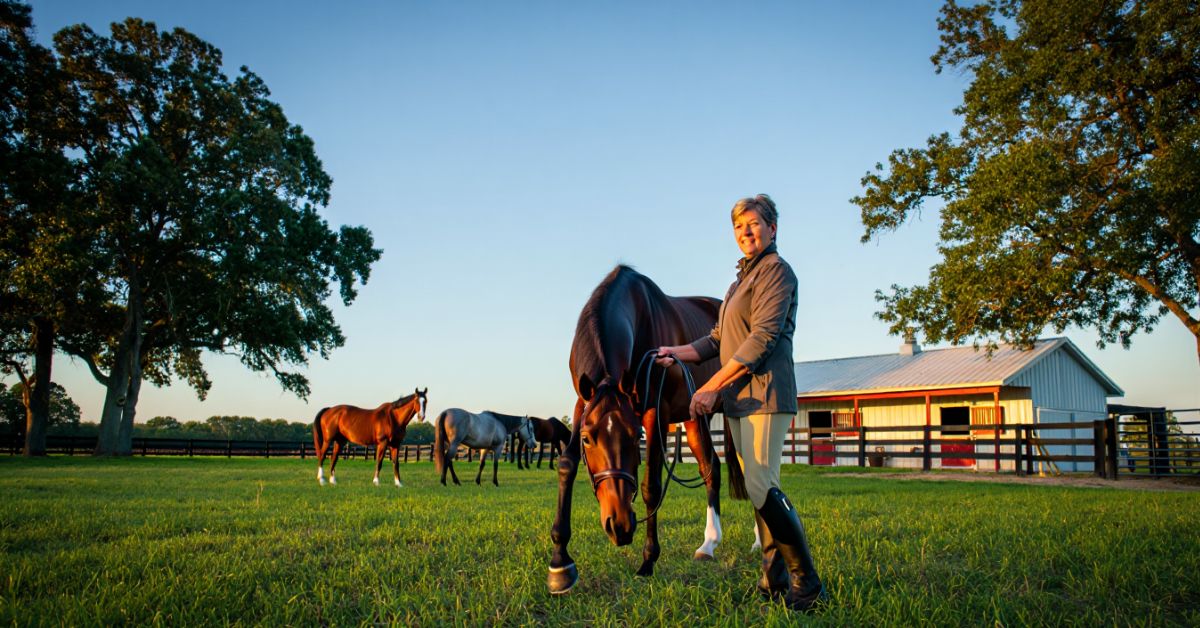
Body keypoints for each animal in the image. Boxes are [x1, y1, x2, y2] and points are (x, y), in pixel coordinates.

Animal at [547, 265, 747, 595]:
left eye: (635, 436)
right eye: (587, 439)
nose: (619, 526)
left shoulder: (656, 413)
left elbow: (651, 487)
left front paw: (648, 560)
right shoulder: (581, 404)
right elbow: (566, 466)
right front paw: (560, 564)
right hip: (694, 417)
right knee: (710, 468)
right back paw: (708, 544)